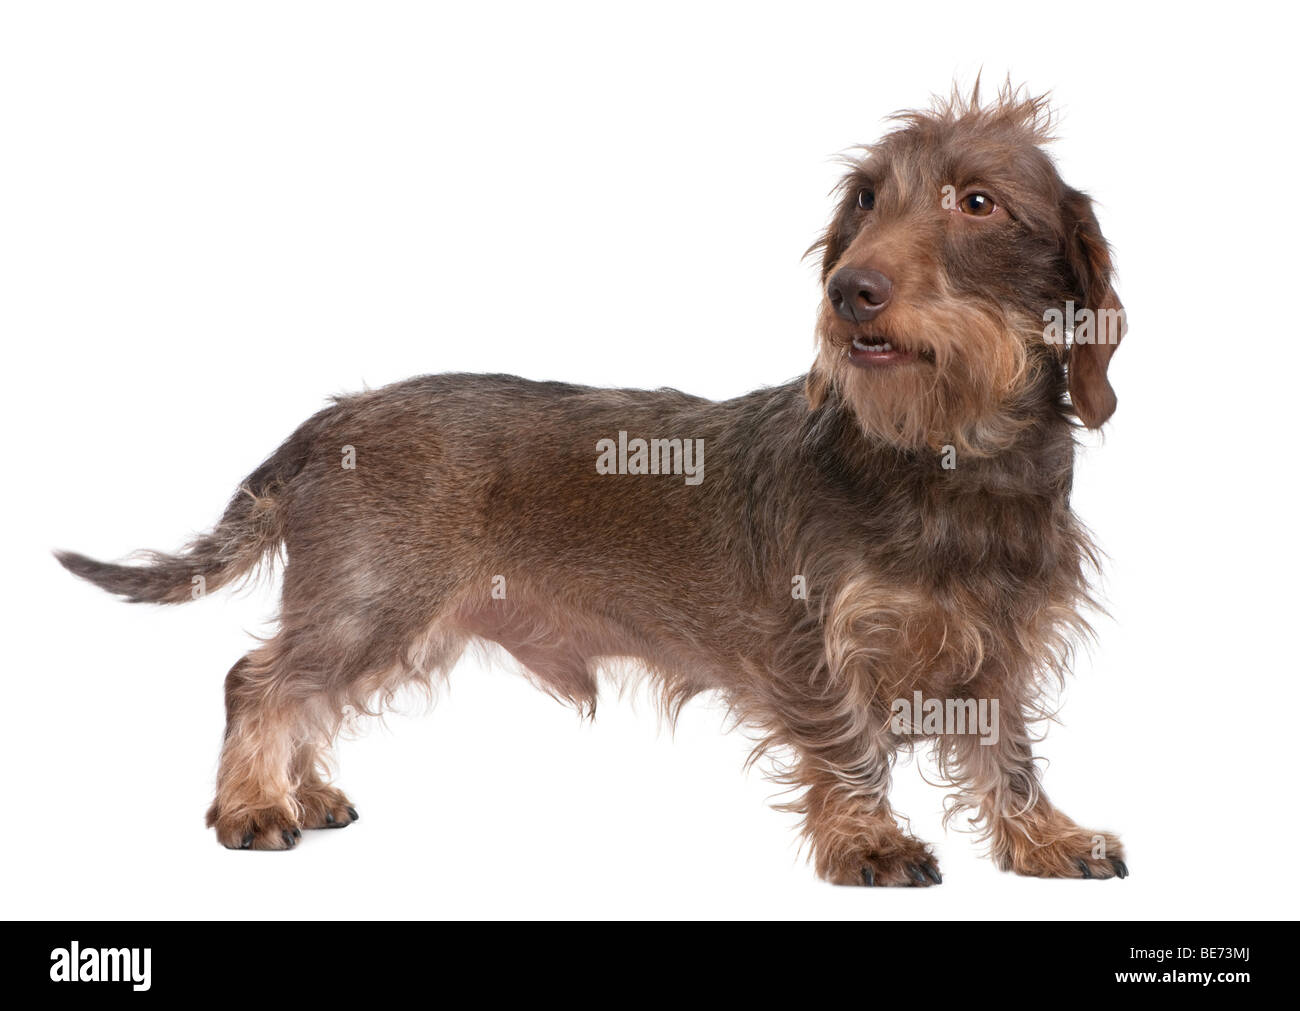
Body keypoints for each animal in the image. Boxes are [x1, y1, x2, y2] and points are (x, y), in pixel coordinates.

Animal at [55, 84, 1123, 883]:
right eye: (865, 199)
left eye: (977, 202)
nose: (847, 289)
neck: (948, 456)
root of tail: (330, 421)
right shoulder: (820, 643)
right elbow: (851, 746)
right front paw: (870, 840)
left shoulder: (1002, 652)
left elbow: (1010, 756)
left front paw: (1046, 837)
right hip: (371, 601)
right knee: (259, 680)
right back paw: (252, 802)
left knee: (302, 694)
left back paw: (303, 789)